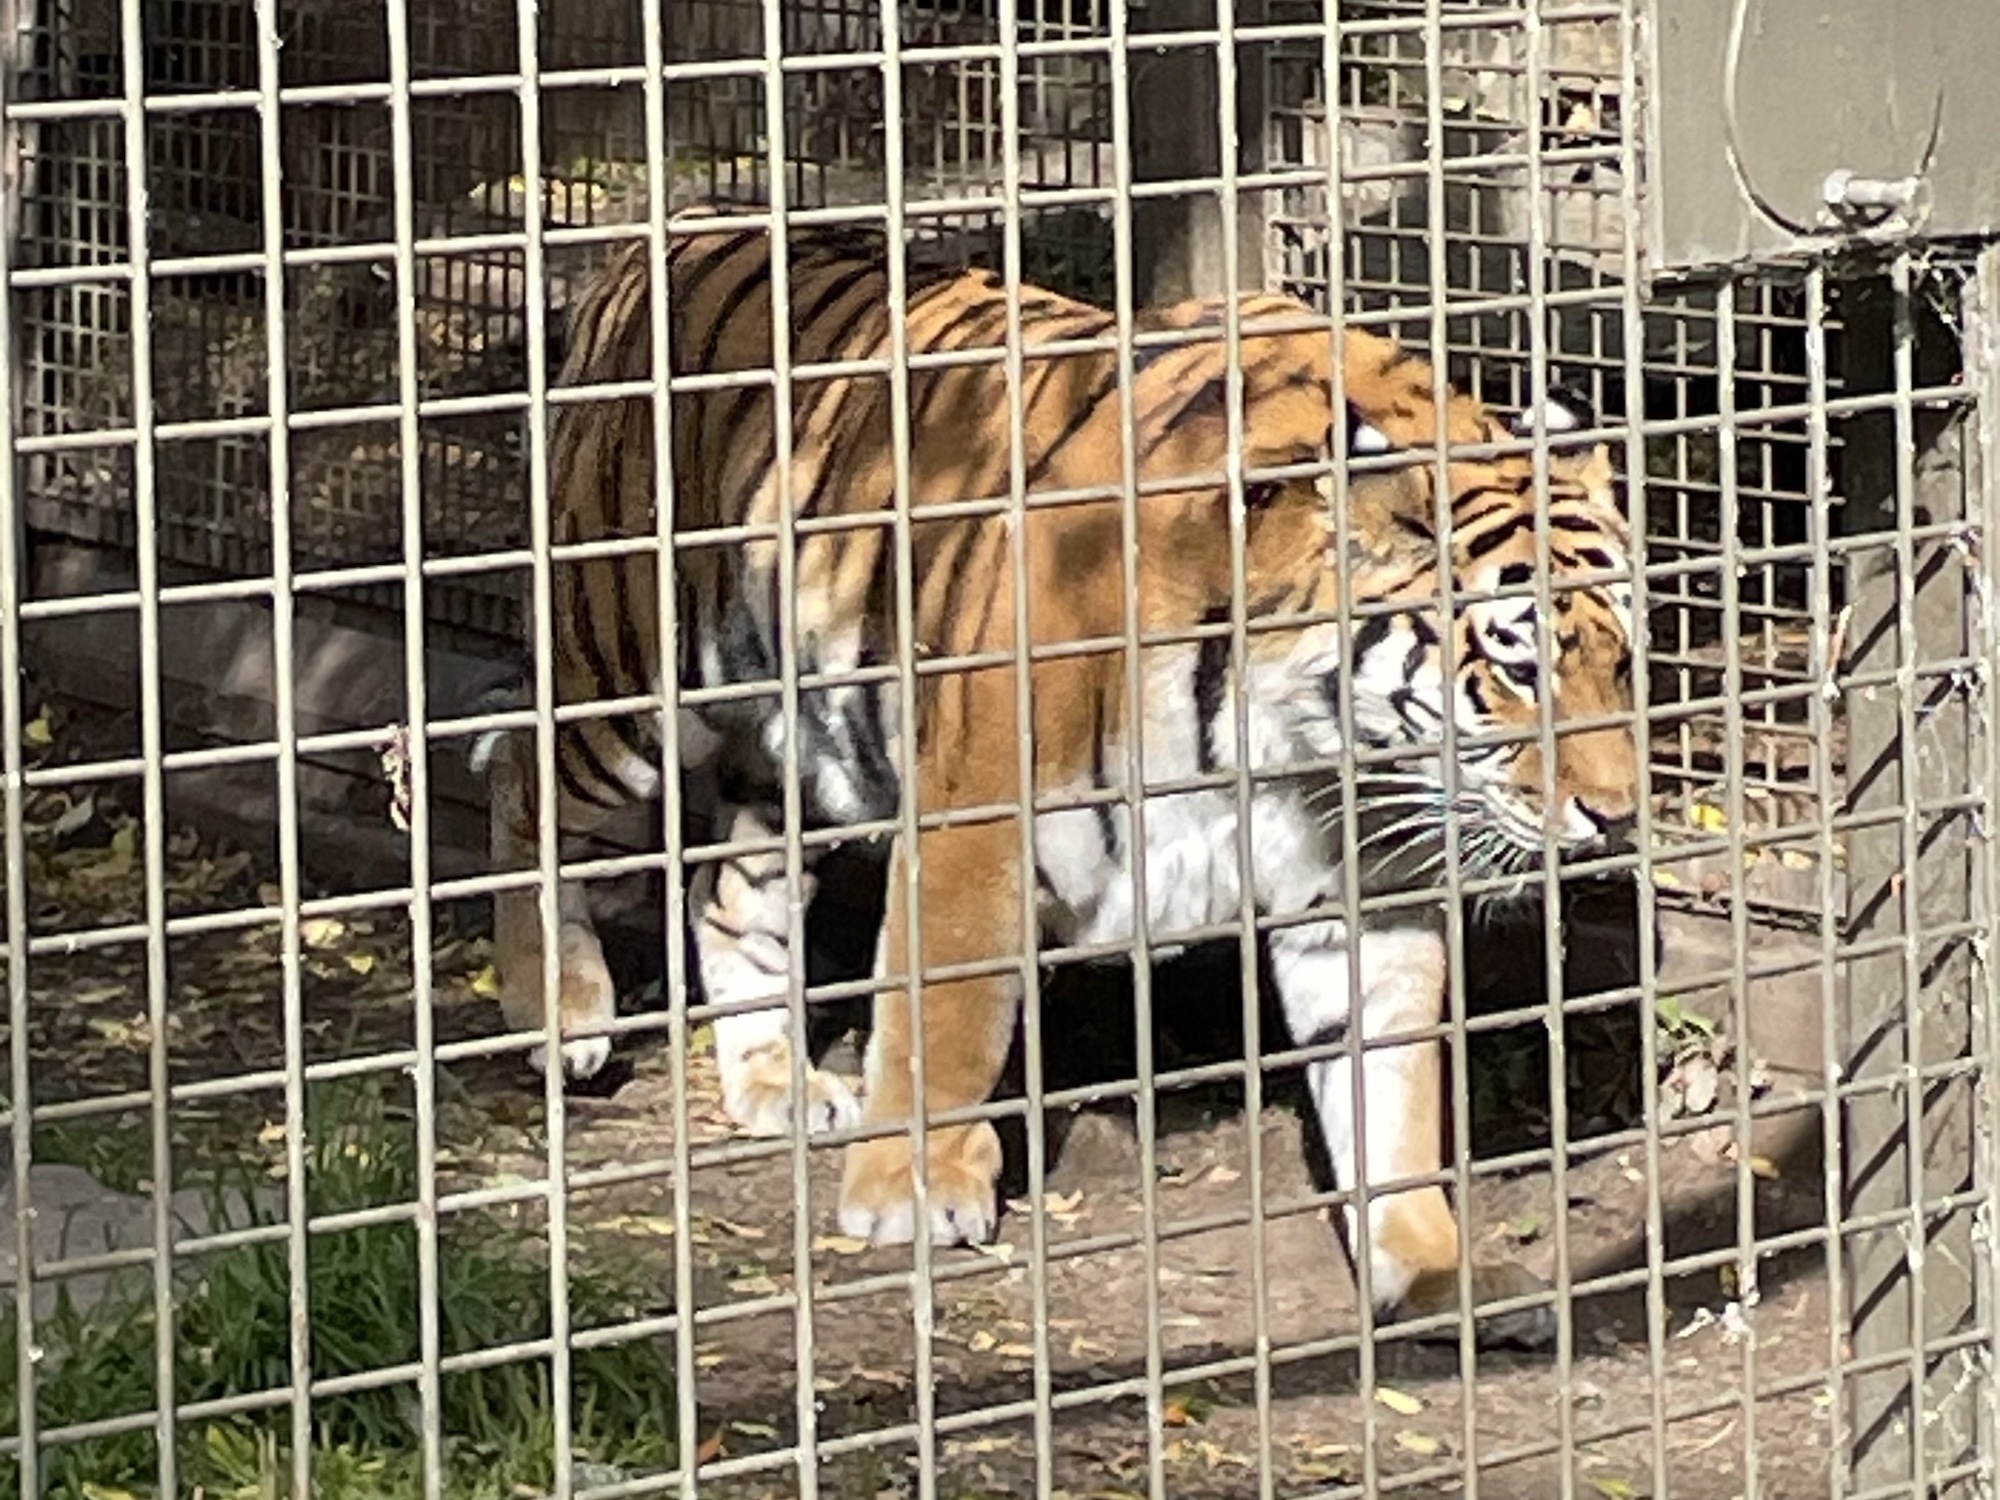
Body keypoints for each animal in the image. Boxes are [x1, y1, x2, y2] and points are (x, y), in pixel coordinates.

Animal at [477, 205, 1637, 1348]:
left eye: (1624, 661)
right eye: (1516, 667)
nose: (1616, 815)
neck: (1298, 743)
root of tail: (666, 234)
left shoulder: (1360, 891)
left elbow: (1390, 1090)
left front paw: (1436, 1273)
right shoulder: (976, 827)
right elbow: (949, 1023)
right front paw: (913, 1189)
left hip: (784, 759)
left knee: (726, 892)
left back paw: (778, 1083)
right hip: (626, 678)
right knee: (521, 785)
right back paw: (561, 1012)